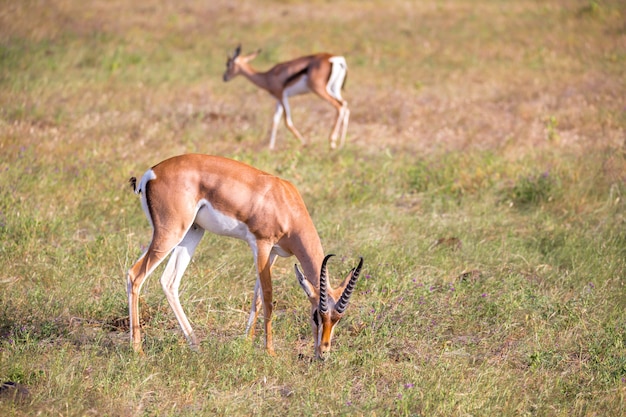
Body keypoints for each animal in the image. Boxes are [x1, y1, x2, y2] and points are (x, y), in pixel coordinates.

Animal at [127, 153, 360, 358]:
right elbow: (268, 297)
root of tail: (152, 173)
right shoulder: (261, 244)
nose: (323, 353)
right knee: (135, 275)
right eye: (316, 316)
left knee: (169, 281)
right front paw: (270, 351)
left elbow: (256, 298)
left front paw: (246, 344)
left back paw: (195, 346)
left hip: (192, 232)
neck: (285, 203)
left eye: (338, 319)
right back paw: (137, 350)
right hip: (170, 233)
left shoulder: (273, 253)